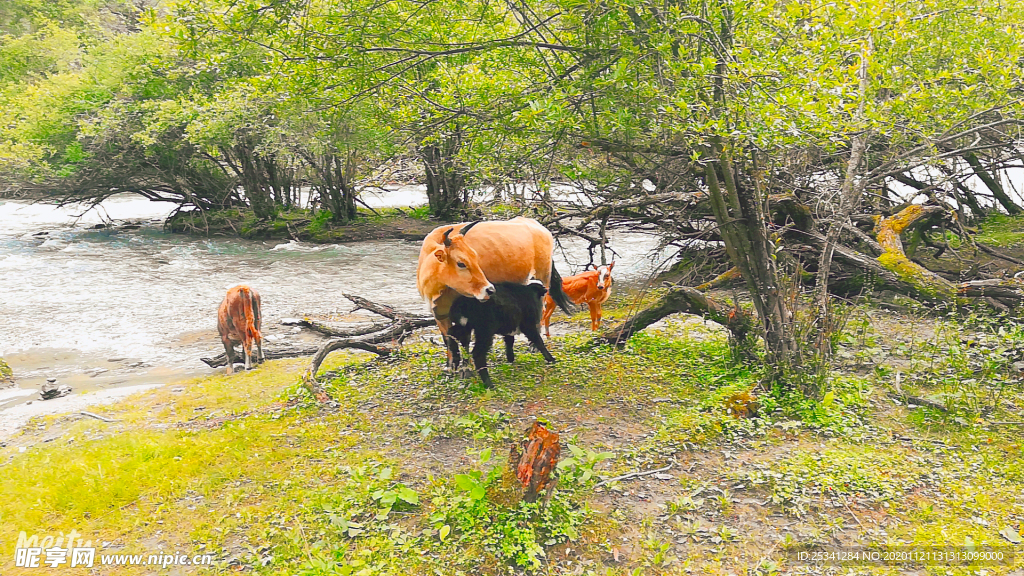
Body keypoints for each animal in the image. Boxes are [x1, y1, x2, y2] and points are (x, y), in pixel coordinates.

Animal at [415, 217, 577, 360]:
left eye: (476, 257)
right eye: (461, 263)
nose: (490, 290)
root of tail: (535, 224)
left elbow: (464, 341)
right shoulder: (439, 314)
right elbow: (449, 341)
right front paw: (451, 367)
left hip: (543, 276)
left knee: (541, 311)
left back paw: (533, 346)